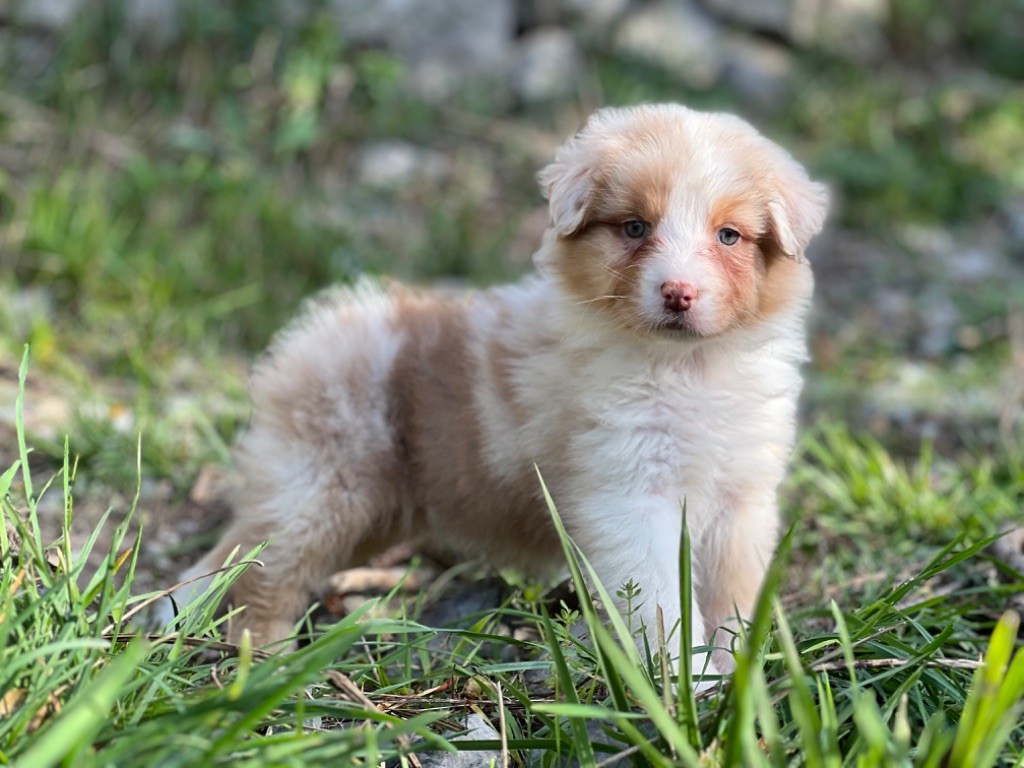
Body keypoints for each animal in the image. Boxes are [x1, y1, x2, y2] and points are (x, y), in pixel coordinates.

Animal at [178, 103, 831, 684]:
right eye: (635, 227)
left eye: (729, 236)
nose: (678, 292)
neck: (686, 367)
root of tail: (312, 333)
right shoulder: (630, 496)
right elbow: (662, 601)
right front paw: (686, 685)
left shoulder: (742, 499)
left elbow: (731, 599)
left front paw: (739, 677)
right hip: (322, 483)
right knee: (258, 571)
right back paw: (262, 659)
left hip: (365, 509)